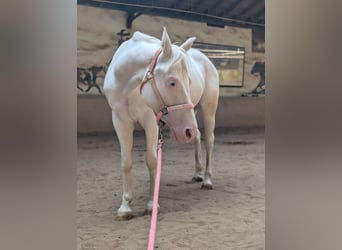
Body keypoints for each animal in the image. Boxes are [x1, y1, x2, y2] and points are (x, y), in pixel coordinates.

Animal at [103, 27, 219, 219]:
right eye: (172, 82)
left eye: (189, 81)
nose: (186, 131)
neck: (129, 86)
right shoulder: (120, 120)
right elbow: (126, 162)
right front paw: (125, 207)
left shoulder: (150, 120)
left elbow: (152, 160)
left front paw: (152, 205)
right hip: (191, 115)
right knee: (197, 137)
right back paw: (198, 174)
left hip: (207, 110)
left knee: (209, 141)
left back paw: (208, 180)